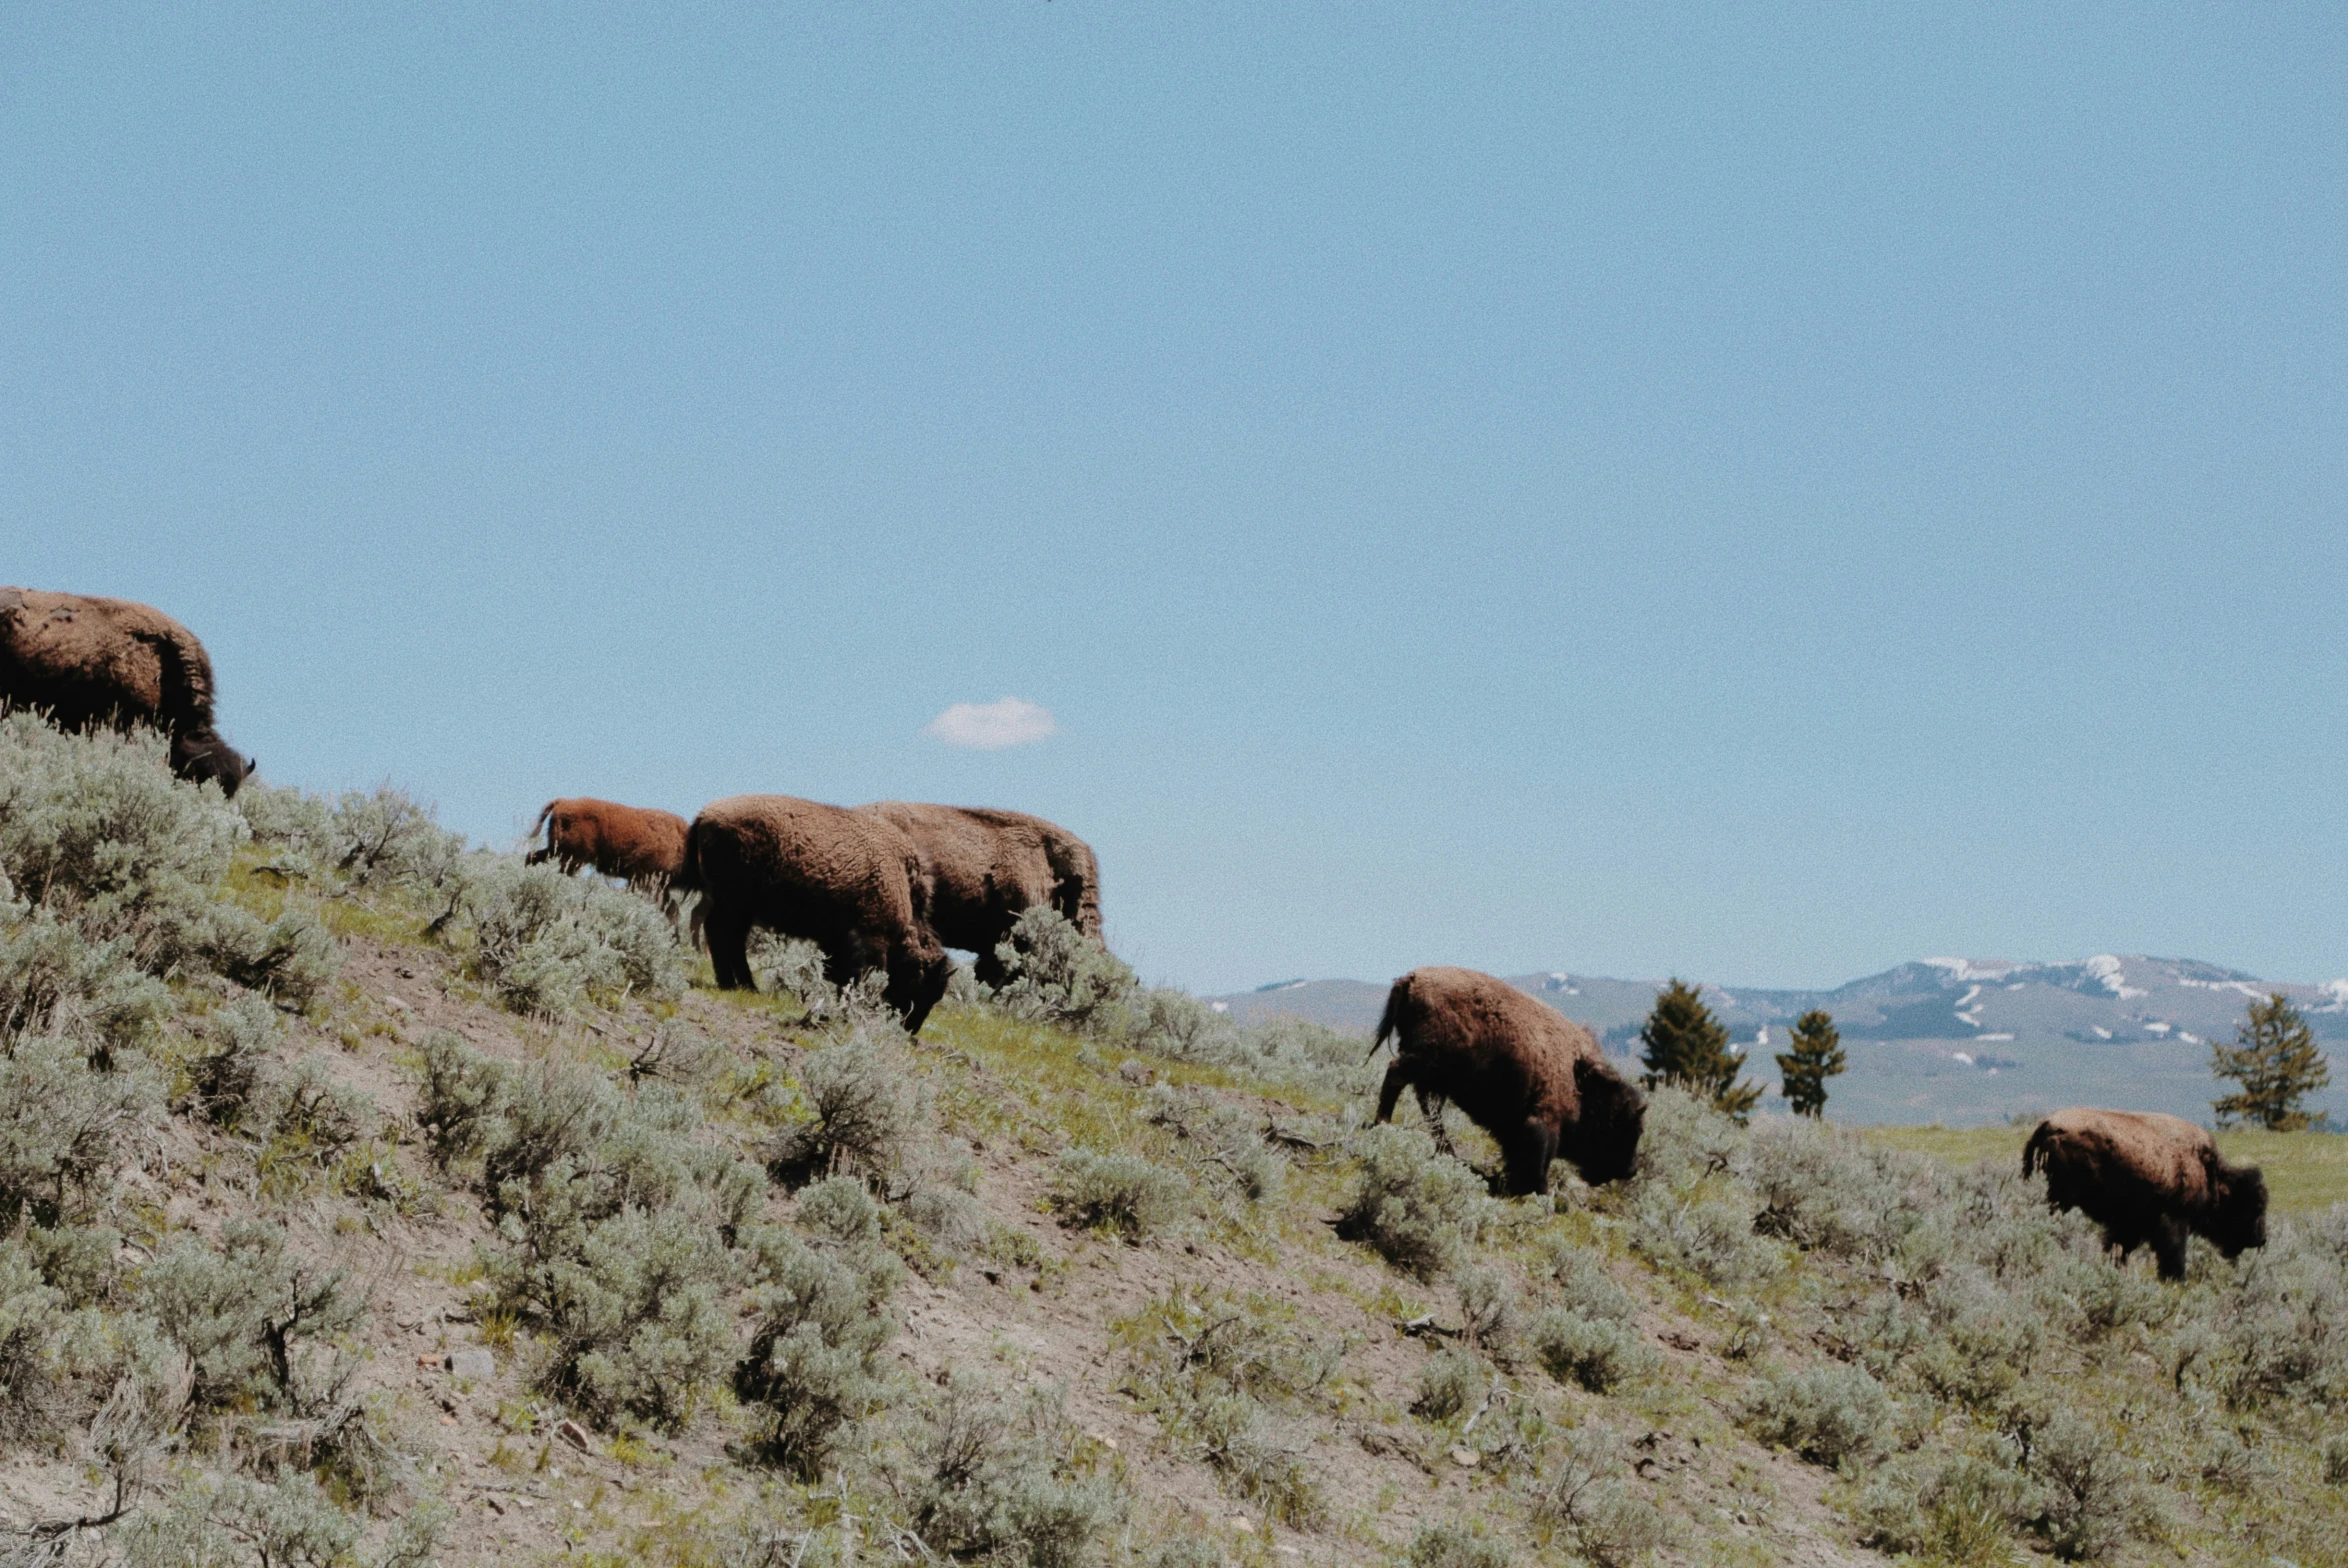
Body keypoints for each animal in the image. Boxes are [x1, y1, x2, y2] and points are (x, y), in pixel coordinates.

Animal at [1371, 962, 1643, 1192]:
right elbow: (1540, 1156)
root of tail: (1411, 979)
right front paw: (1537, 1188)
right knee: (1396, 1076)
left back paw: (1447, 1152)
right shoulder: (1544, 1119)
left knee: (1429, 1106)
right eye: (1621, 1126)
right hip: (1424, 1061)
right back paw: (1382, 1124)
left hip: (1434, 1075)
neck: (1581, 1082)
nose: (1631, 1170)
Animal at [2028, 1107, 2263, 1276]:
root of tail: (2048, 1124)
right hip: (2061, 1199)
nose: (2260, 1239)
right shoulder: (2174, 1220)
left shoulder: (2129, 1225)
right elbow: (2173, 1253)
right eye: (2253, 1206)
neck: (2209, 1172)